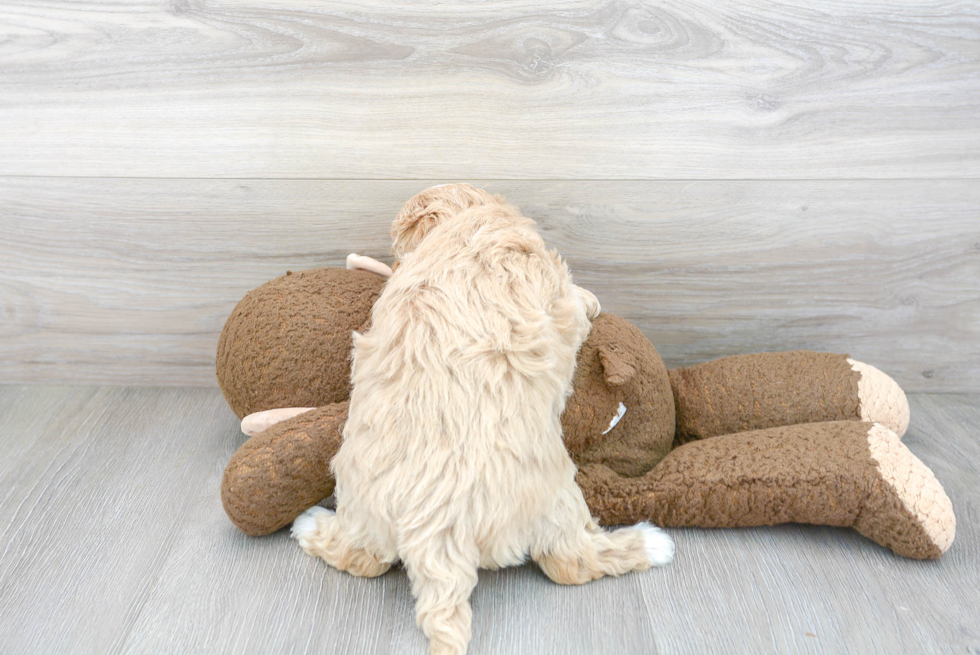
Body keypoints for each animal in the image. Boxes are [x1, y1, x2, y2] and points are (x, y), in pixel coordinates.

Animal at [290, 186, 672, 655]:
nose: (392, 265)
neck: (465, 224)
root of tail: (435, 534)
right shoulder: (552, 290)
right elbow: (574, 305)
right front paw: (590, 299)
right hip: (557, 499)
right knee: (571, 562)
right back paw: (652, 544)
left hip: (364, 511)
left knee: (358, 558)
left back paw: (307, 523)